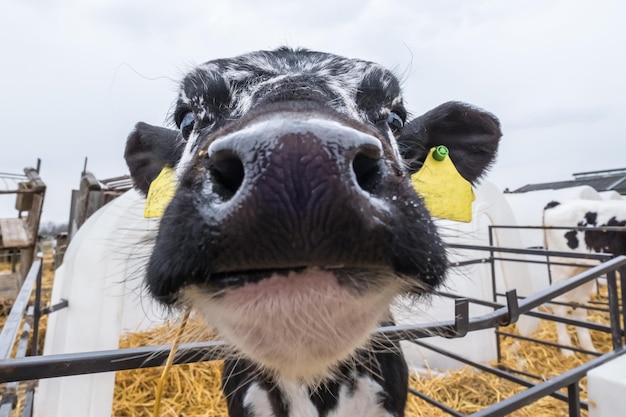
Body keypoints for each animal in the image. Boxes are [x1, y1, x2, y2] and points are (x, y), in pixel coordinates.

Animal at [540, 198, 624, 354]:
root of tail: (556, 204)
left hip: (583, 269)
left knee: (578, 304)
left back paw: (588, 348)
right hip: (562, 267)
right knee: (559, 304)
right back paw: (567, 350)